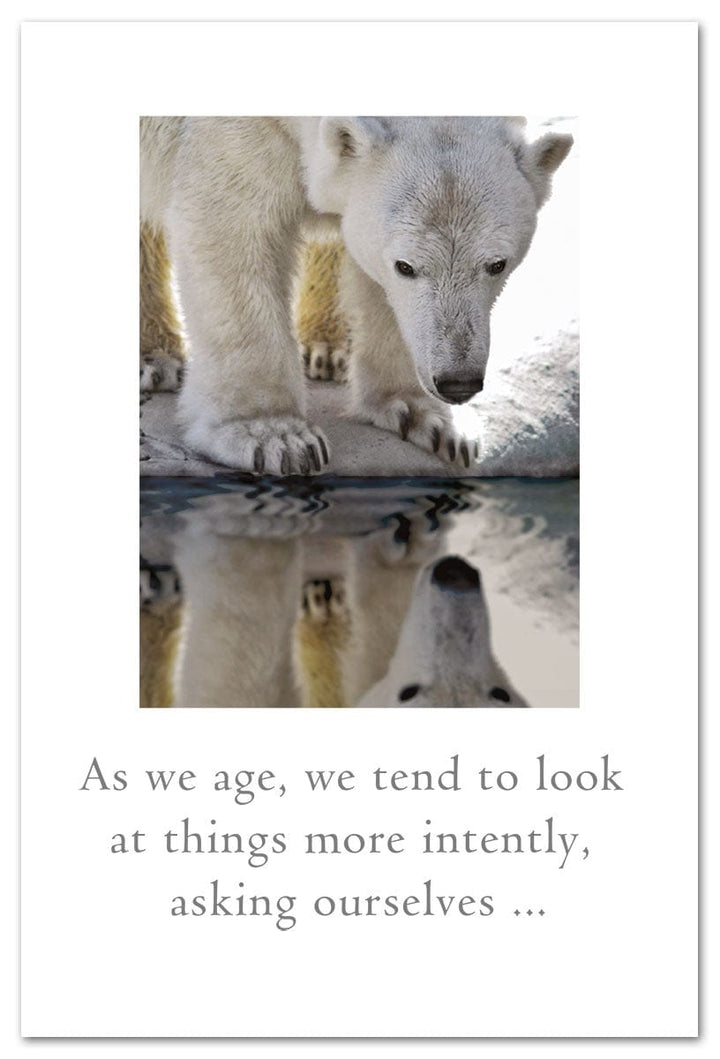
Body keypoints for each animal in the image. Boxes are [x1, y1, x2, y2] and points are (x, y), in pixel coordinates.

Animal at [140, 116, 573, 474]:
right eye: (405, 266)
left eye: (497, 264)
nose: (458, 382)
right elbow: (234, 233)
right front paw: (275, 436)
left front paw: (430, 421)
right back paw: (155, 360)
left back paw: (327, 350)